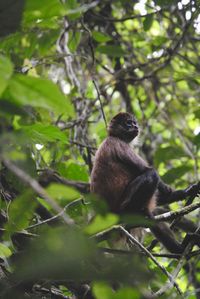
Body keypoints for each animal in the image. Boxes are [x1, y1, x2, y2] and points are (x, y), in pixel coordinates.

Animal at [90, 112, 200, 253]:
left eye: (134, 122)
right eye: (128, 123)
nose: (135, 126)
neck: (113, 136)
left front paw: (187, 191)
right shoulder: (118, 144)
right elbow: (147, 170)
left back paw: (179, 248)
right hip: (122, 206)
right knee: (151, 175)